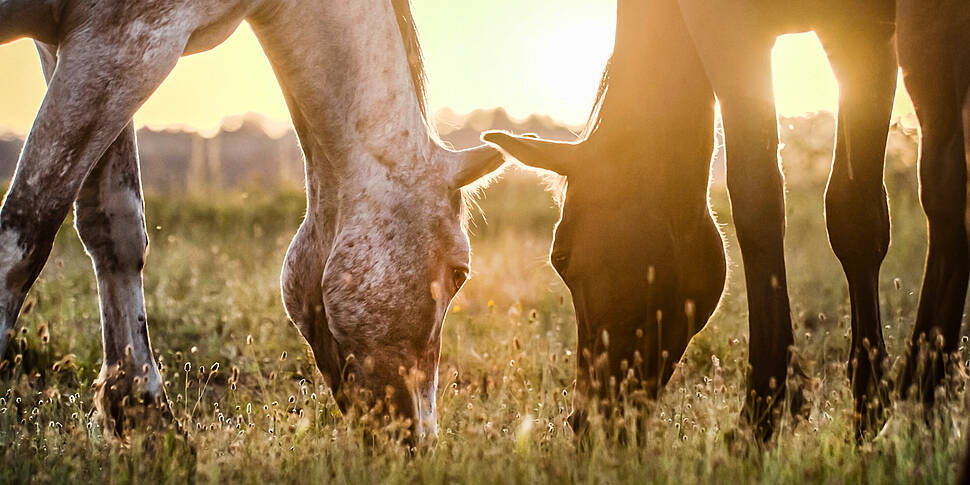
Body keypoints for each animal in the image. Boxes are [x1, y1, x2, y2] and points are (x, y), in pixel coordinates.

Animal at [0, 0, 500, 440]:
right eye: (459, 273)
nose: (419, 438)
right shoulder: (126, 42)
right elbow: (24, 237)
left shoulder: (71, 44)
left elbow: (115, 229)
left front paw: (148, 420)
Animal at [484, 0, 900, 438]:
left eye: (560, 259)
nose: (586, 422)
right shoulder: (864, 33)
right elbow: (856, 216)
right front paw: (871, 404)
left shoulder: (747, 30)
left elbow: (762, 201)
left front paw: (764, 410)